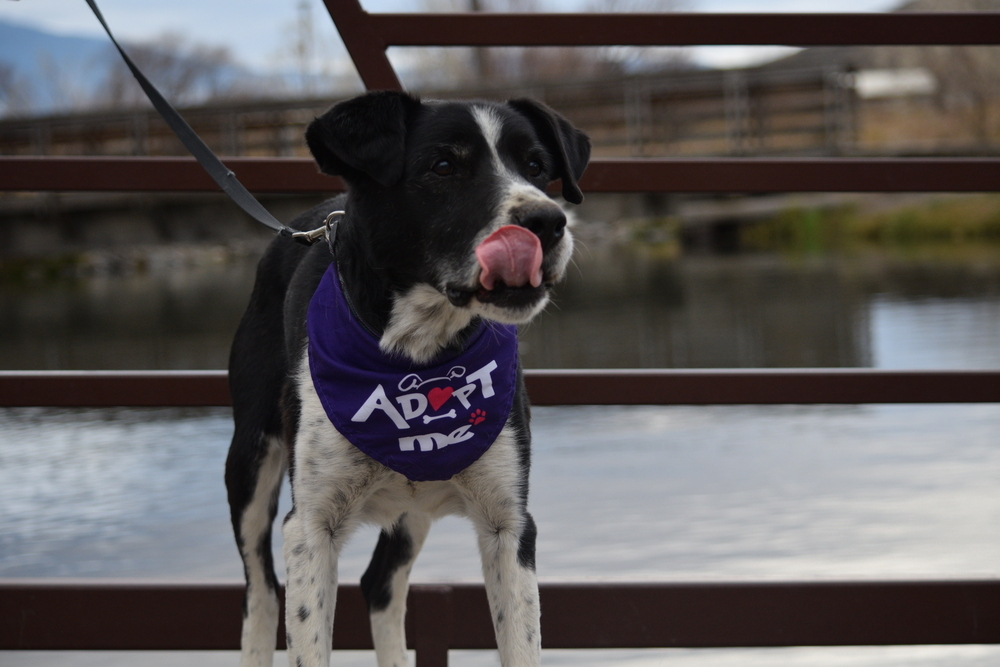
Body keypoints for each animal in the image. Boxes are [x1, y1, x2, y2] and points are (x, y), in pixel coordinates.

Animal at [223, 90, 588, 667]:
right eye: (443, 166)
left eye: (535, 166)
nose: (547, 221)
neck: (419, 352)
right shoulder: (310, 529)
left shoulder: (509, 524)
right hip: (250, 459)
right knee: (260, 591)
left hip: (414, 504)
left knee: (379, 585)